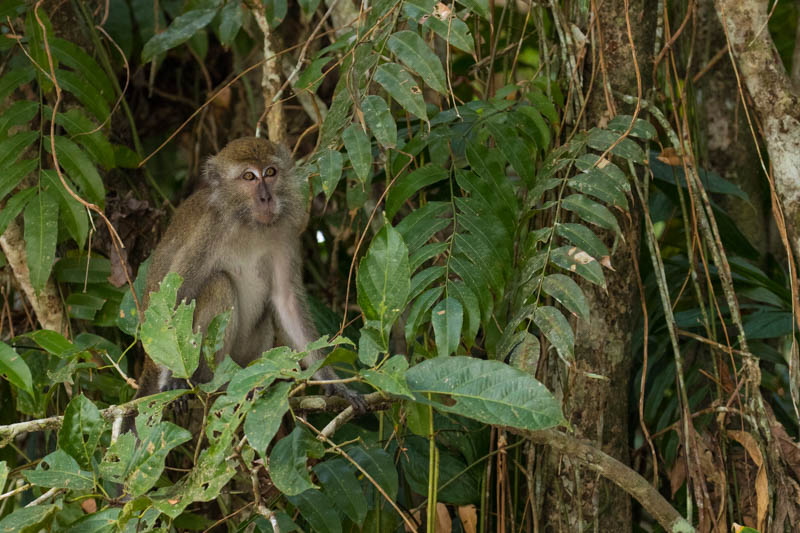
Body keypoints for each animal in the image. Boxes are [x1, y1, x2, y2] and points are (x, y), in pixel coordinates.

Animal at [132, 135, 366, 414]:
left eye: (270, 173)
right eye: (249, 177)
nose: (266, 197)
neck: (249, 224)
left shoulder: (285, 234)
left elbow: (286, 301)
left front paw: (333, 381)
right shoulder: (210, 229)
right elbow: (176, 293)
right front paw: (174, 379)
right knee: (219, 283)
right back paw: (212, 384)